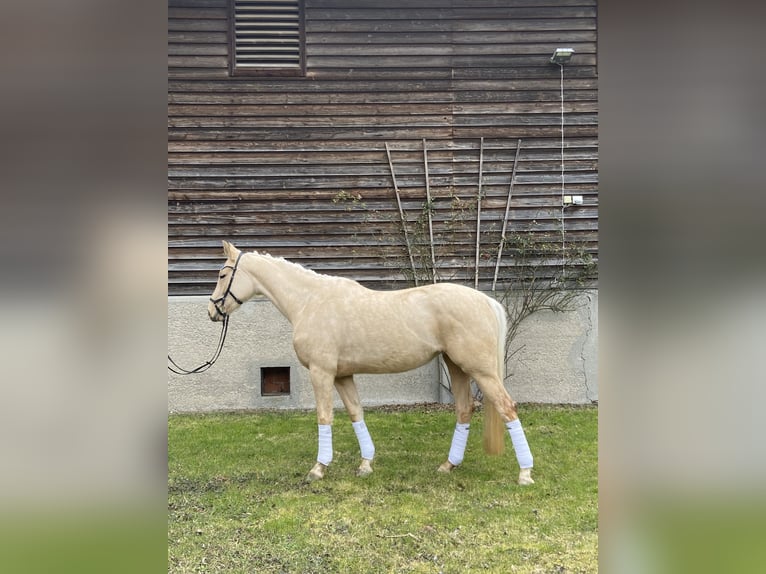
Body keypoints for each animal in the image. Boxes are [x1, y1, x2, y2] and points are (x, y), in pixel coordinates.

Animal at [207, 241, 536, 488]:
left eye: (223, 274)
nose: (212, 311)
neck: (311, 301)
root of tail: (485, 301)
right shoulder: (342, 375)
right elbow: (356, 413)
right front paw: (365, 464)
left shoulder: (321, 373)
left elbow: (324, 416)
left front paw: (318, 468)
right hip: (455, 366)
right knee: (465, 409)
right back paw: (448, 465)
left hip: (481, 371)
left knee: (507, 407)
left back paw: (525, 473)